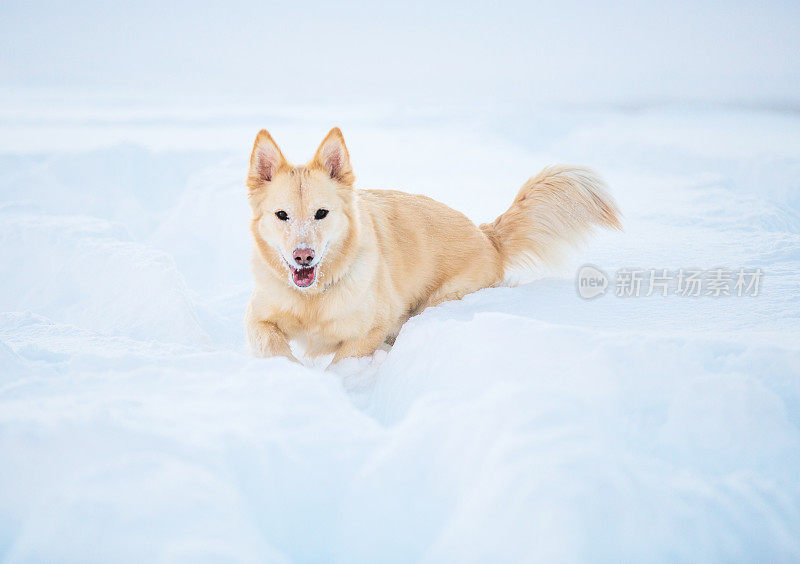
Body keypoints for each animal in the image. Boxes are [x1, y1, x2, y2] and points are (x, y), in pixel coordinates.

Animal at [244, 127, 620, 364]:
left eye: (321, 213)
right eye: (281, 215)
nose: (303, 256)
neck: (313, 299)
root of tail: (487, 235)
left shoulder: (372, 329)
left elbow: (342, 359)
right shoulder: (257, 317)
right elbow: (270, 343)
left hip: (436, 303)